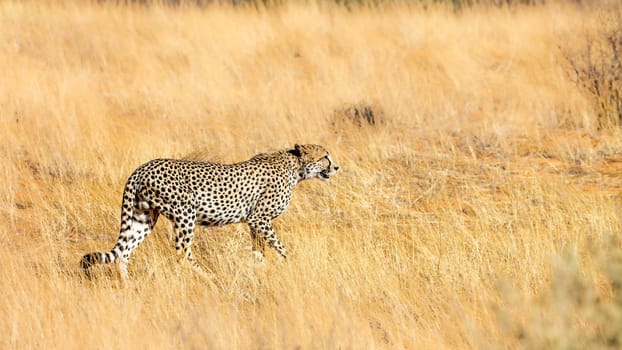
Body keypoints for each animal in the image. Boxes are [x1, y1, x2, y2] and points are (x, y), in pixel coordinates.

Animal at [80, 144, 342, 280]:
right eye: (324, 157)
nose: (337, 167)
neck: (295, 168)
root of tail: (142, 167)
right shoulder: (259, 218)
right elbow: (280, 247)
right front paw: (291, 264)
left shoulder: (254, 223)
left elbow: (259, 251)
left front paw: (259, 270)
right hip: (185, 214)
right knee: (181, 252)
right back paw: (206, 277)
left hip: (143, 217)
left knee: (124, 251)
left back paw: (127, 284)